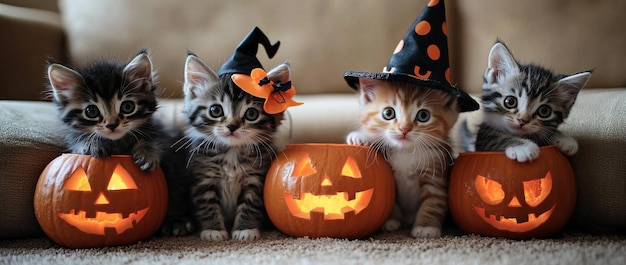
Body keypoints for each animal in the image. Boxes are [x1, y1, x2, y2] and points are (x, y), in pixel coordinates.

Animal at [178, 54, 286, 240]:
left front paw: (245, 229)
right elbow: (207, 205)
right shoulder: (203, 177)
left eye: (251, 114)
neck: (232, 152)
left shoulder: (255, 179)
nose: (232, 126)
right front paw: (213, 230)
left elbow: (250, 205)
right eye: (215, 110)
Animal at [346, 78, 458, 237]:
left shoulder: (435, 172)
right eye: (388, 113)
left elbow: (433, 201)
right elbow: (389, 197)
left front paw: (426, 227)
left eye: (423, 115)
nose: (404, 129)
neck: (406, 152)